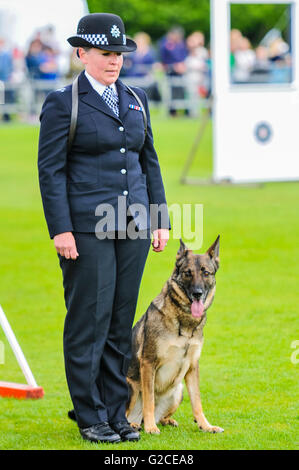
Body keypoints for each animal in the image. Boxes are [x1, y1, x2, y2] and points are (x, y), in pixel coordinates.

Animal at [125, 237, 224, 436]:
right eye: (187, 273)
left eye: (206, 273)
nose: (197, 293)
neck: (184, 322)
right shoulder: (148, 363)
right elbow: (149, 400)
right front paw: (150, 428)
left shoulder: (193, 366)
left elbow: (197, 402)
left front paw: (206, 426)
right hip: (130, 387)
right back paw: (136, 425)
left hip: (178, 390)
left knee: (160, 415)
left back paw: (165, 420)